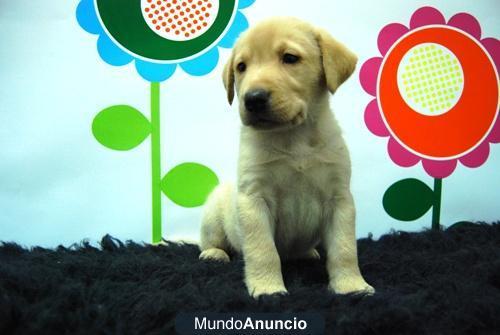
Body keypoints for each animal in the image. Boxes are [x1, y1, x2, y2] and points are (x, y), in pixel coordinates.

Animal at [197, 17, 374, 298]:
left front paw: (351, 286)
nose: (253, 98)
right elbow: (263, 250)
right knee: (210, 242)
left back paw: (308, 253)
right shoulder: (254, 199)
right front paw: (268, 288)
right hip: (213, 218)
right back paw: (214, 254)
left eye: (289, 58)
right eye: (241, 67)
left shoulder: (339, 199)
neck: (293, 137)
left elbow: (344, 249)